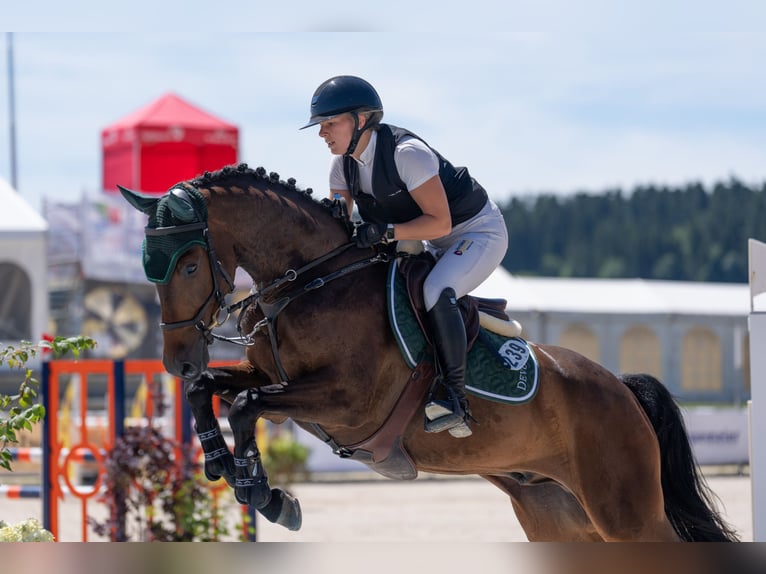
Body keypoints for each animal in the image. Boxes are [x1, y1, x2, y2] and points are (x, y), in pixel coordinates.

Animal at [120, 164, 736, 544]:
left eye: (190, 265)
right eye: (149, 266)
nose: (177, 359)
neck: (311, 282)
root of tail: (622, 389)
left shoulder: (347, 403)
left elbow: (246, 405)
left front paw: (262, 492)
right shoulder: (277, 384)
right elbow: (212, 391)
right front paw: (223, 465)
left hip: (624, 513)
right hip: (558, 514)